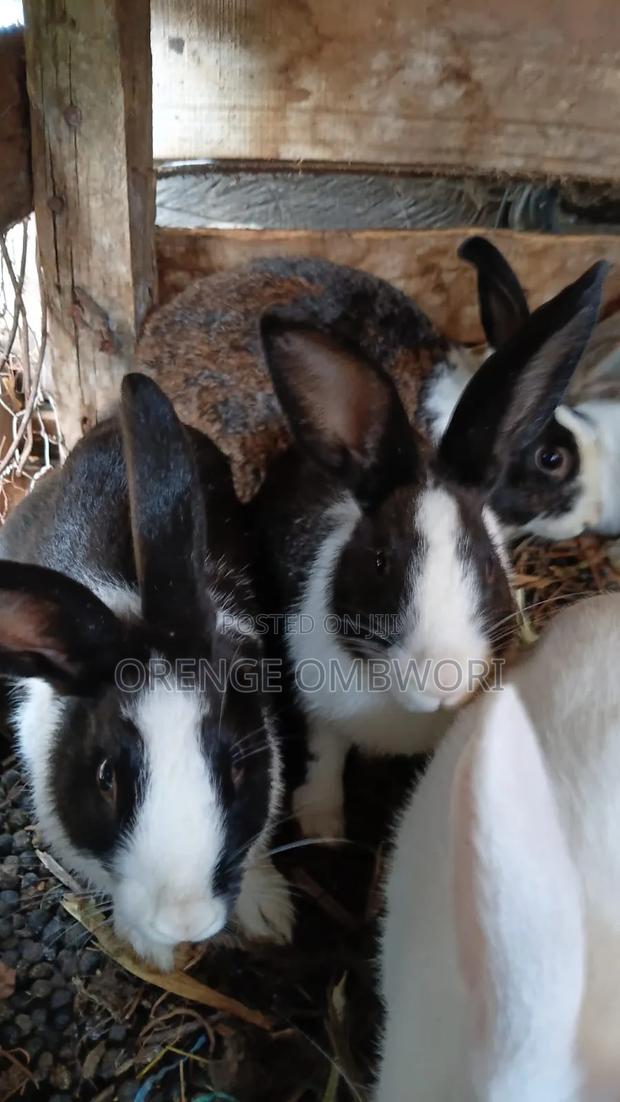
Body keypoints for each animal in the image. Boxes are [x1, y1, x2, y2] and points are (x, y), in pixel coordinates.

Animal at [249, 260, 606, 837]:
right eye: (380, 562)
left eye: (487, 562)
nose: (444, 678)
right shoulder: (319, 709)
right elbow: (324, 759)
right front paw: (324, 828)